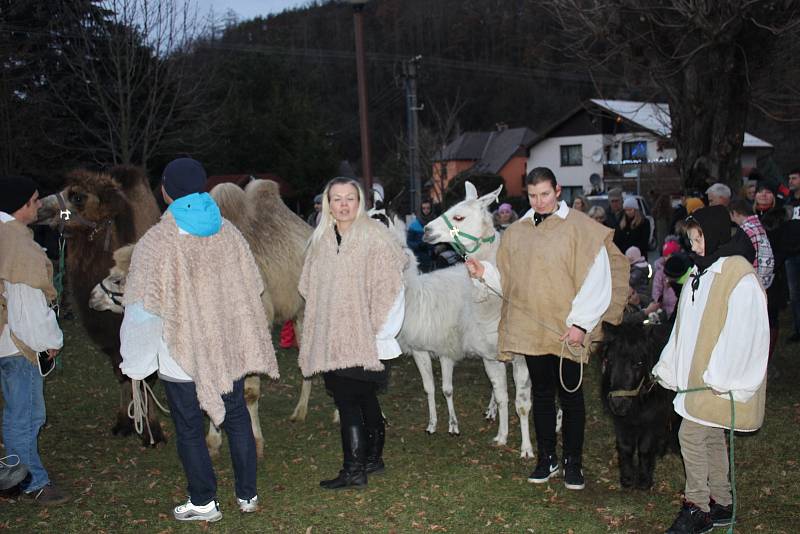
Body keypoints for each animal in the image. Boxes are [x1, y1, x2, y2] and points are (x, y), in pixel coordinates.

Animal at [596, 320, 680, 492]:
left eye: (638, 363)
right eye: (609, 360)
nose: (618, 403)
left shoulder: (652, 419)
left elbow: (645, 449)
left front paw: (644, 481)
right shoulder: (621, 421)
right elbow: (625, 447)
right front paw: (627, 479)